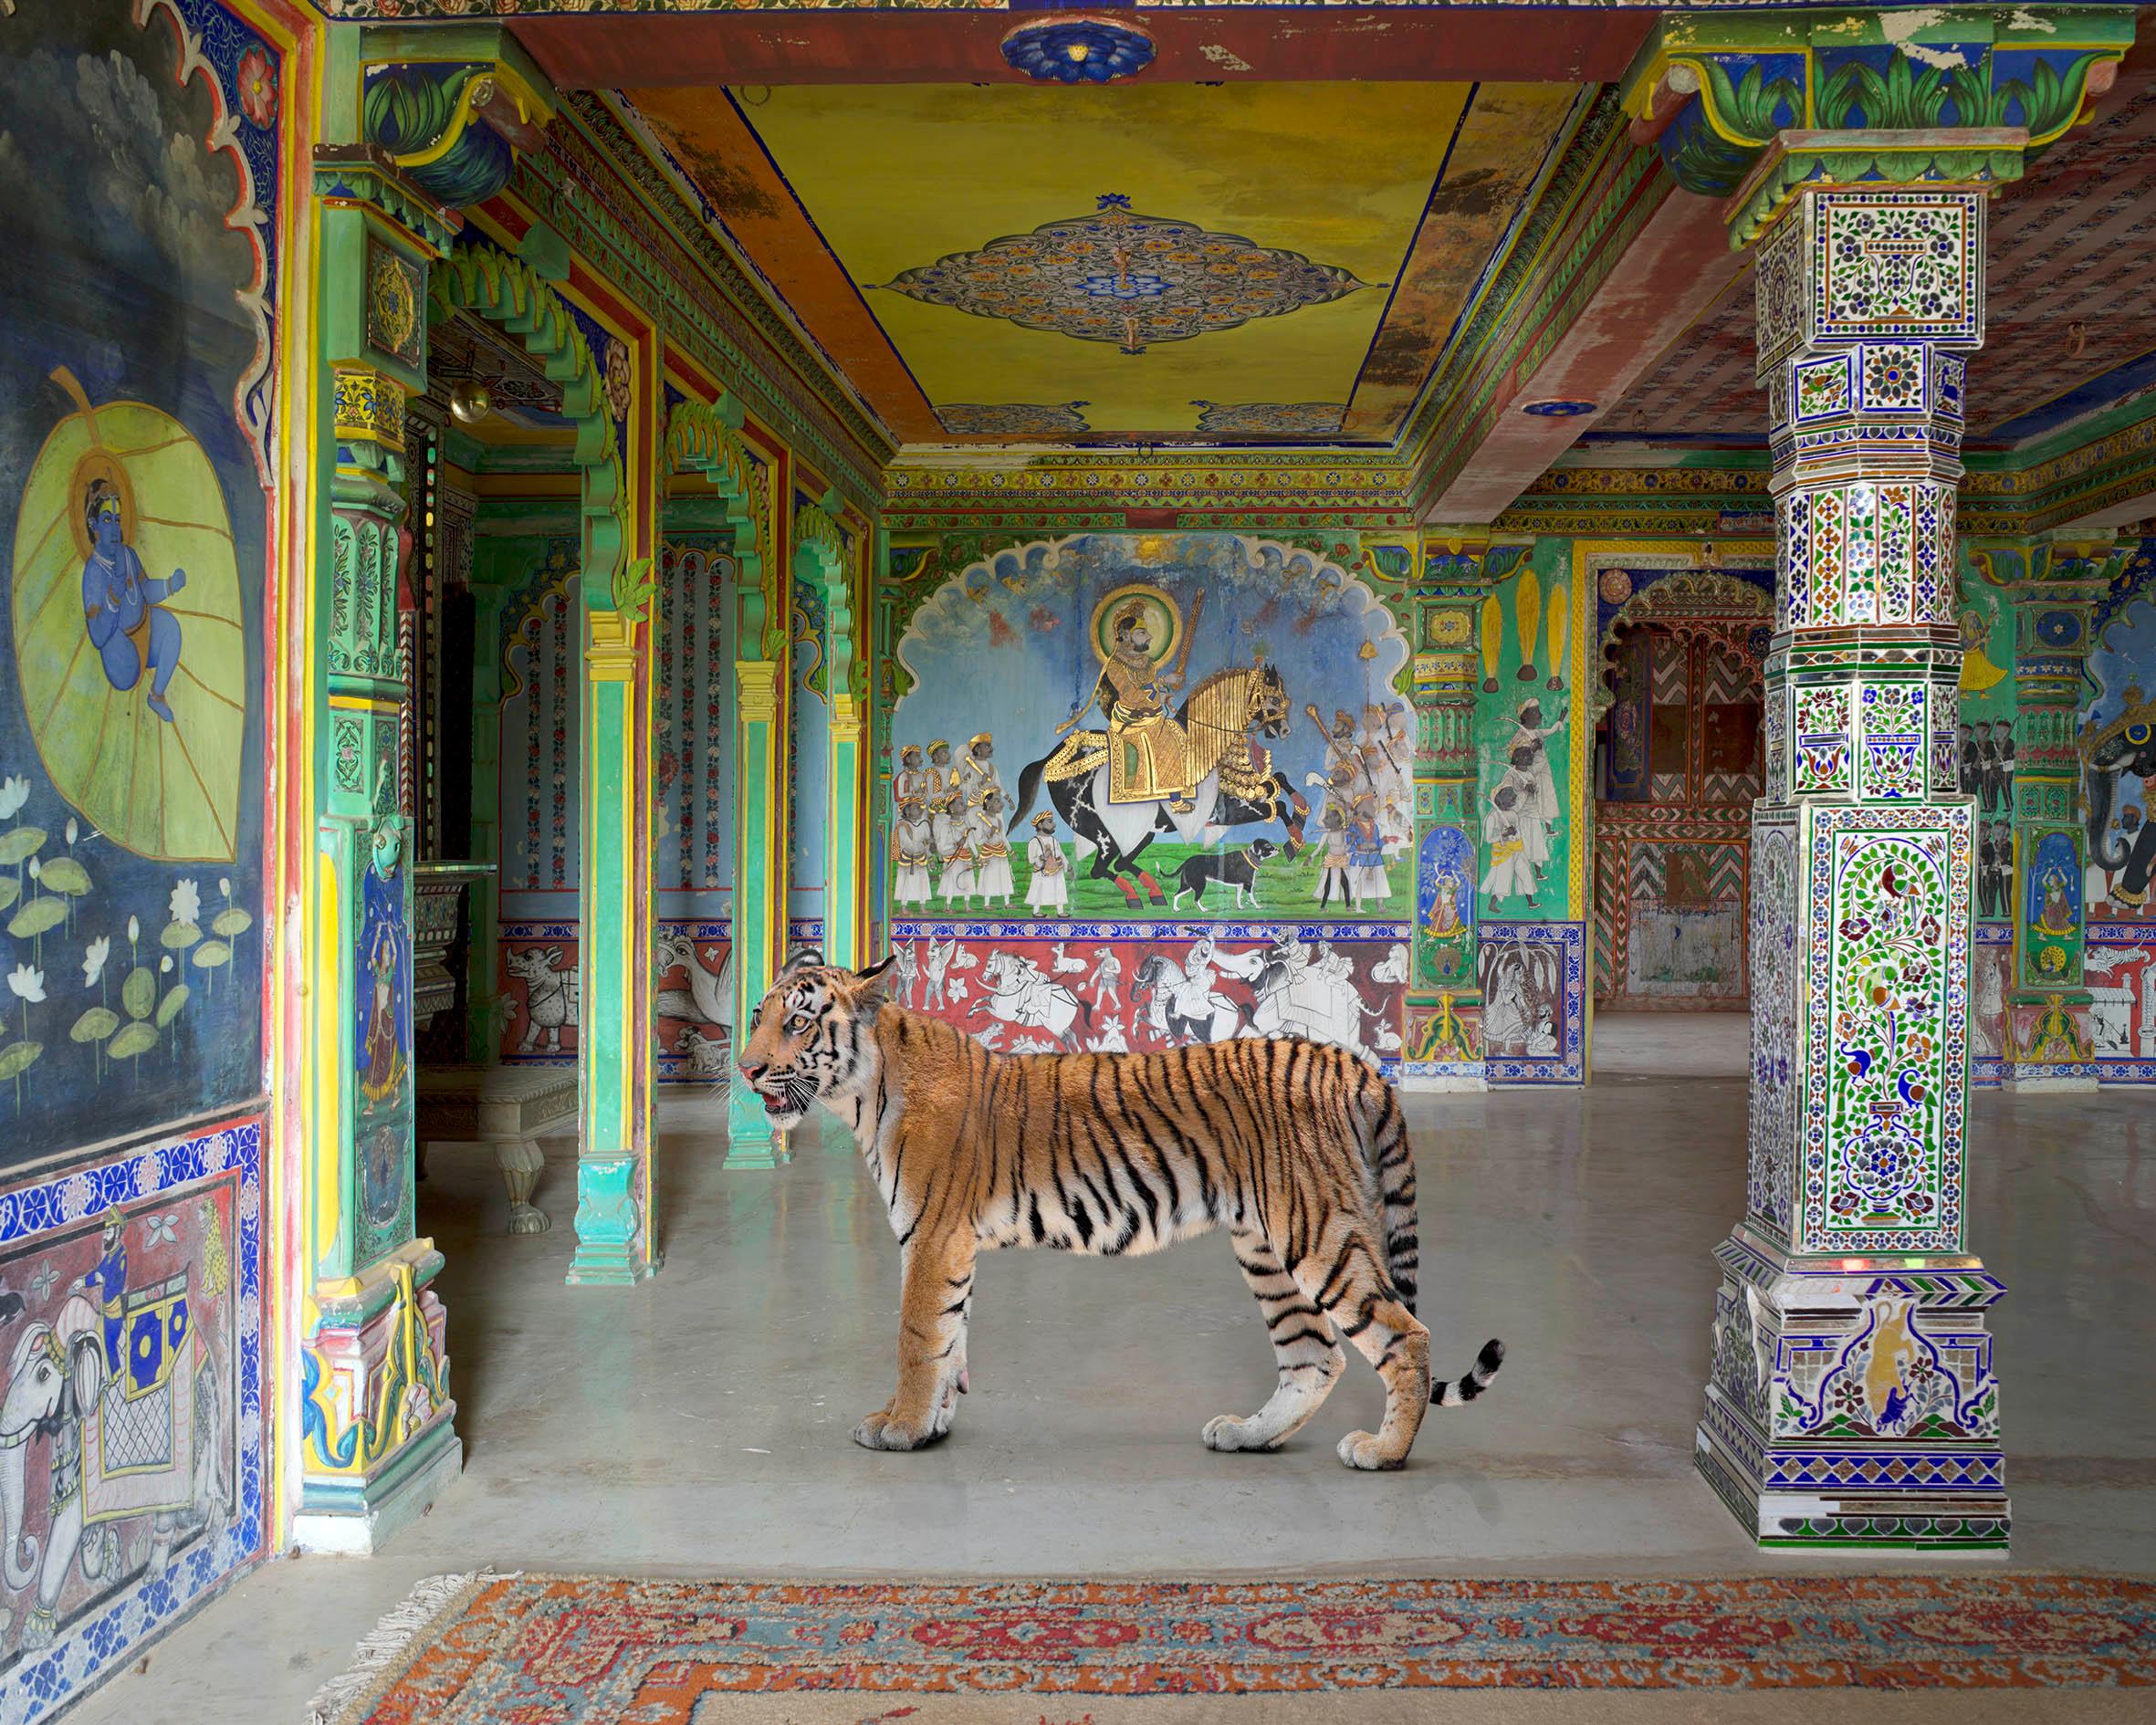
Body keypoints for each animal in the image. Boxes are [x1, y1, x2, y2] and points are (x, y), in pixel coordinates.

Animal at [737, 957, 1500, 1466]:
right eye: (757, 1016)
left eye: (797, 1023)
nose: (745, 1069)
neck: (865, 1091)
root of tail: (1350, 1062)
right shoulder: (948, 1246)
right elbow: (952, 1340)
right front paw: (931, 1427)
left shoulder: (931, 1237)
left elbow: (917, 1338)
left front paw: (898, 1429)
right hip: (1266, 1247)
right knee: (1314, 1358)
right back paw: (1247, 1435)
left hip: (1317, 1232)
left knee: (1406, 1336)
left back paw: (1384, 1451)